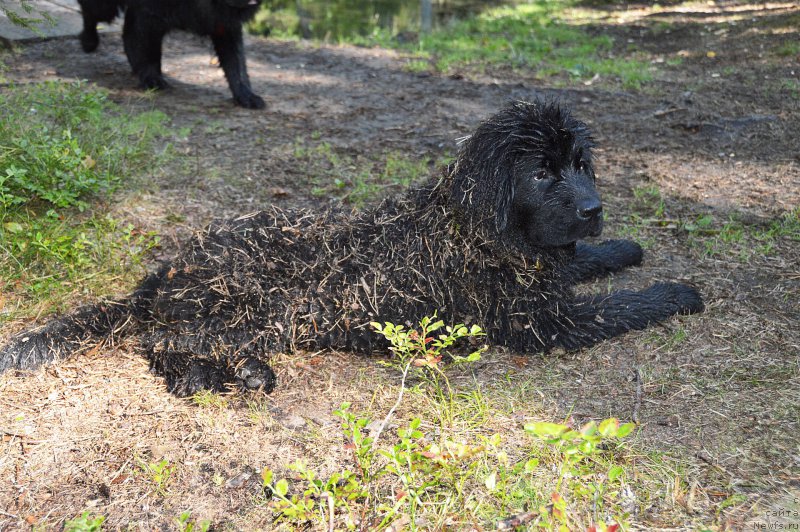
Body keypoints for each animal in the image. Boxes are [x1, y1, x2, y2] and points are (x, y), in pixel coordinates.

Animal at [0, 101, 700, 394]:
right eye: (541, 173)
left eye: (580, 165)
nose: (593, 210)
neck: (472, 226)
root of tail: (161, 275)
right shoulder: (552, 323)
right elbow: (631, 305)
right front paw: (681, 289)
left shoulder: (551, 280)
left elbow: (586, 262)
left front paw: (625, 248)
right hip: (254, 303)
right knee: (166, 342)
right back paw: (234, 374)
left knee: (167, 346)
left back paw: (225, 376)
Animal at [75, 0, 264, 108]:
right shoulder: (148, 17)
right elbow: (148, 53)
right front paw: (152, 80)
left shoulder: (224, 26)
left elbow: (237, 66)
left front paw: (246, 95)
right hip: (105, 8)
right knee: (90, 14)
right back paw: (89, 41)